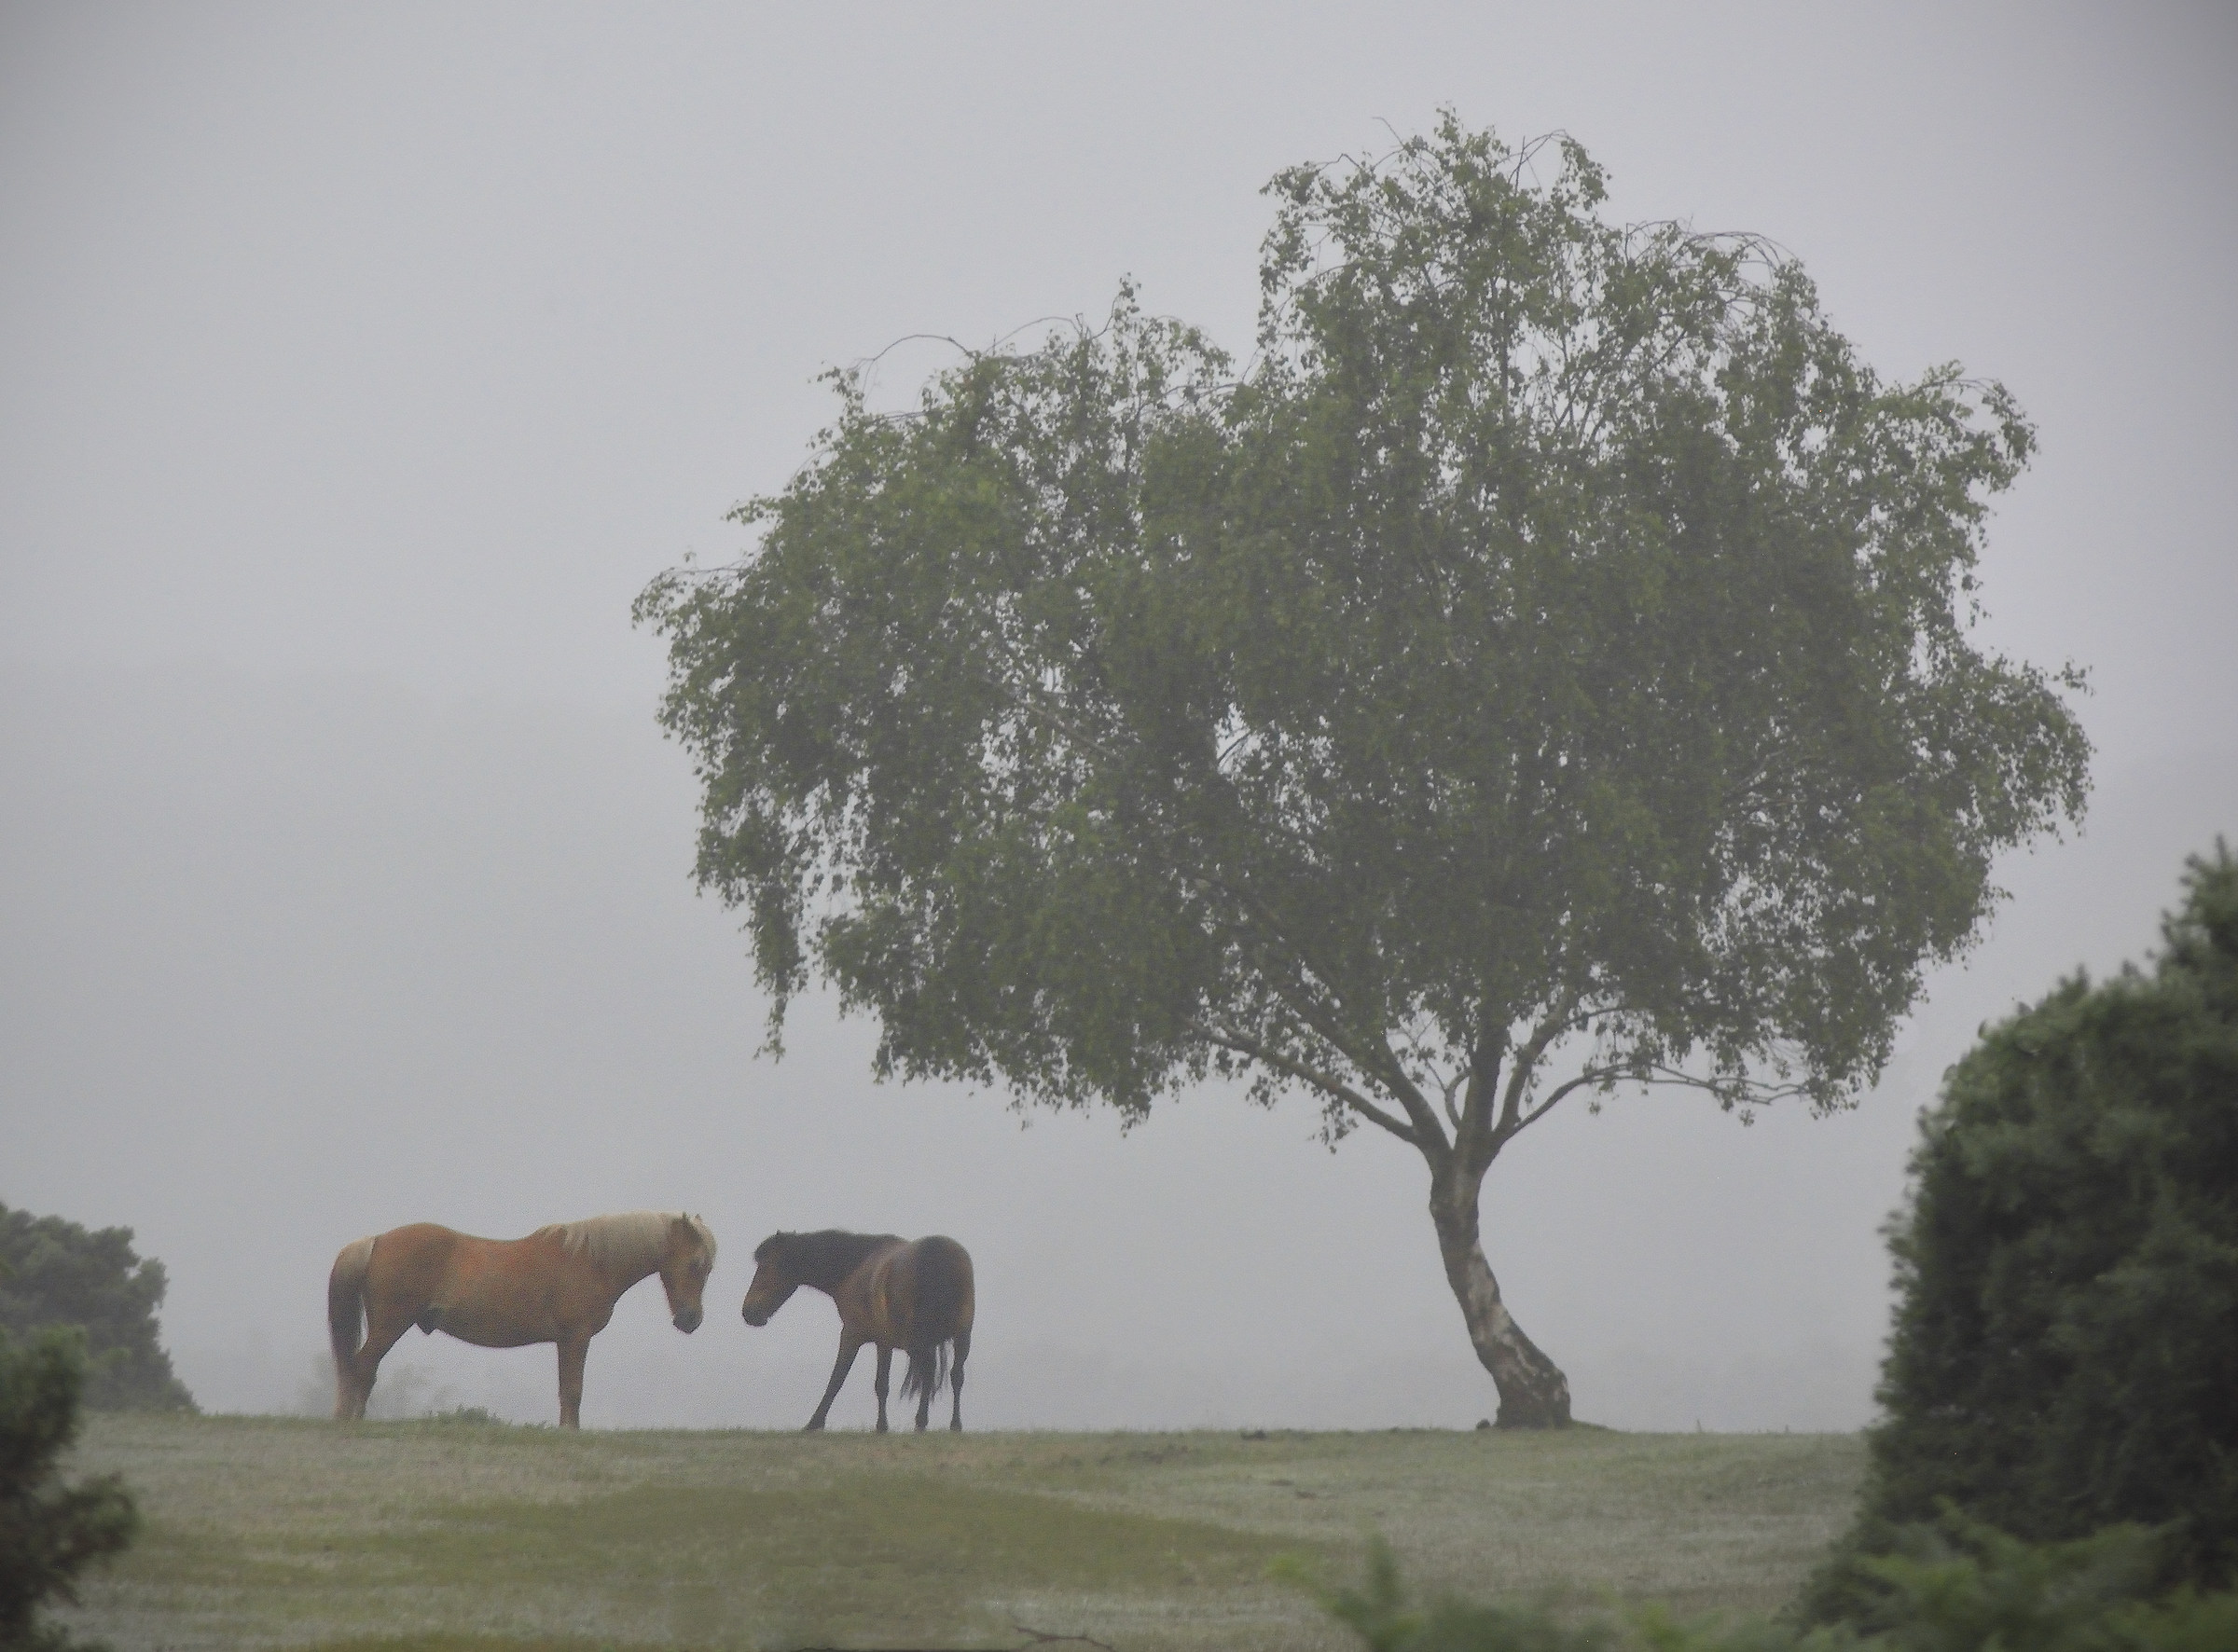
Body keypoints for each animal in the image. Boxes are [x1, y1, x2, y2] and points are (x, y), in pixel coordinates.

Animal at [327, 1211, 716, 1428]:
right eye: (695, 1263)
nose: (690, 1320)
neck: (592, 1260)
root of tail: (375, 1241)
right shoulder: (574, 1338)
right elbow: (571, 1391)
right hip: (389, 1326)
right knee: (361, 1367)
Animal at [740, 1230, 974, 1432]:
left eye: (764, 1268)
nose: (748, 1312)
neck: (855, 1268)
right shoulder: (886, 1342)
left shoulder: (855, 1335)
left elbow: (841, 1379)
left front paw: (816, 1422)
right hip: (960, 1336)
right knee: (952, 1375)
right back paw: (951, 1424)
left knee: (931, 1372)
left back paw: (925, 1422)